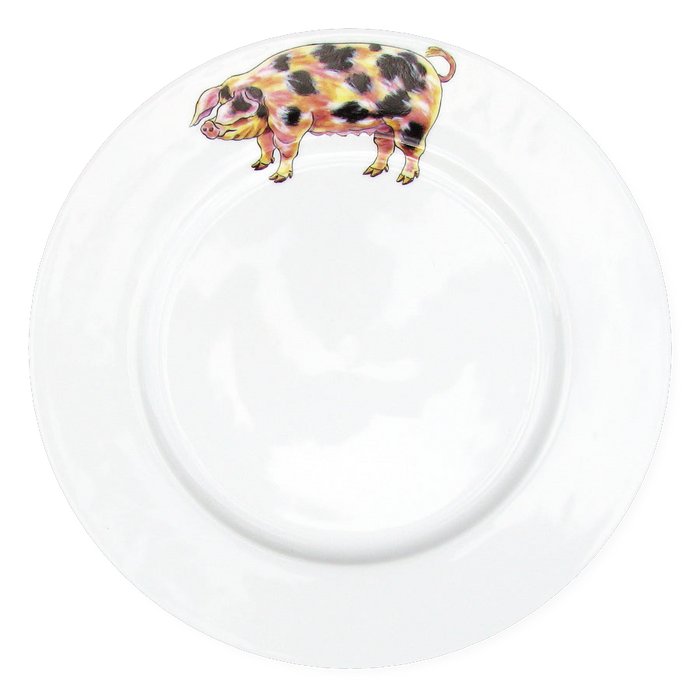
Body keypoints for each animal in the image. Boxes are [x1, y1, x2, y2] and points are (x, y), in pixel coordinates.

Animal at [190, 43, 456, 184]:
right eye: (220, 105)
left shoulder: (291, 122)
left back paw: (404, 179)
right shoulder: (268, 125)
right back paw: (372, 172)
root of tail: (432, 71)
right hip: (383, 124)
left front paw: (277, 177)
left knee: (413, 151)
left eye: (242, 109)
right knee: (384, 146)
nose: (208, 126)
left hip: (414, 122)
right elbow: (264, 143)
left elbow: (286, 150)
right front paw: (258, 166)